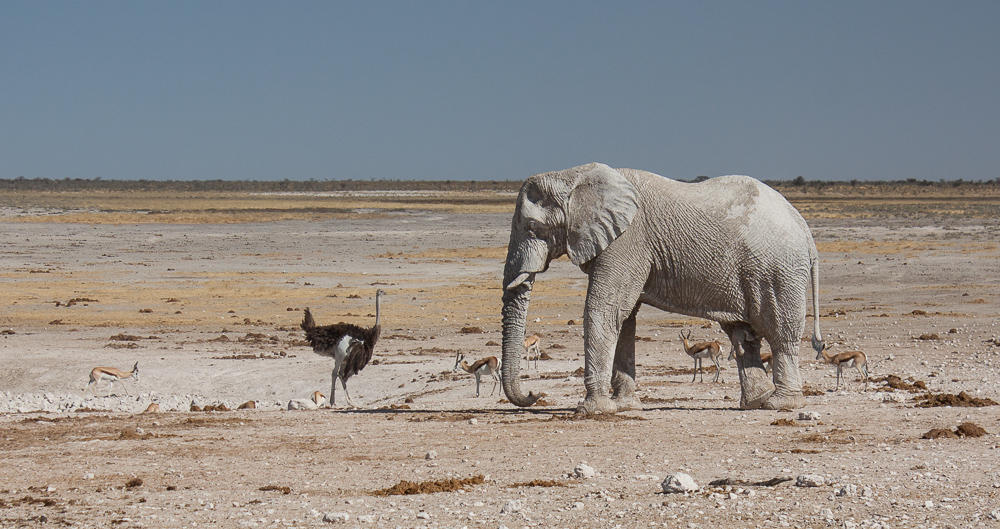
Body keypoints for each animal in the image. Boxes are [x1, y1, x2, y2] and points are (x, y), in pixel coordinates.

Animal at [500, 162, 824, 415]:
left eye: (532, 227)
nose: (535, 395)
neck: (573, 175)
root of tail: (804, 228)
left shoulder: (627, 241)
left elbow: (604, 310)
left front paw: (592, 410)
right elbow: (625, 318)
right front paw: (625, 407)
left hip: (779, 271)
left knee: (781, 333)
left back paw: (780, 404)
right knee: (743, 336)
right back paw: (756, 402)